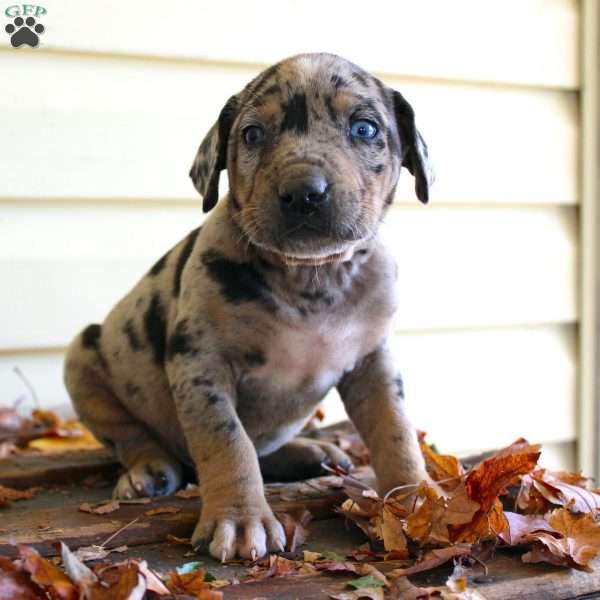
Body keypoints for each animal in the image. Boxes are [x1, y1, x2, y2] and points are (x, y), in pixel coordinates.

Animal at [63, 52, 434, 564]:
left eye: (364, 128)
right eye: (253, 134)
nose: (304, 192)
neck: (310, 277)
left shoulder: (373, 363)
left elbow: (395, 431)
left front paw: (415, 498)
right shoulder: (202, 365)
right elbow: (228, 441)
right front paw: (240, 520)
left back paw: (310, 452)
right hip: (83, 358)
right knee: (133, 435)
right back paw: (148, 469)